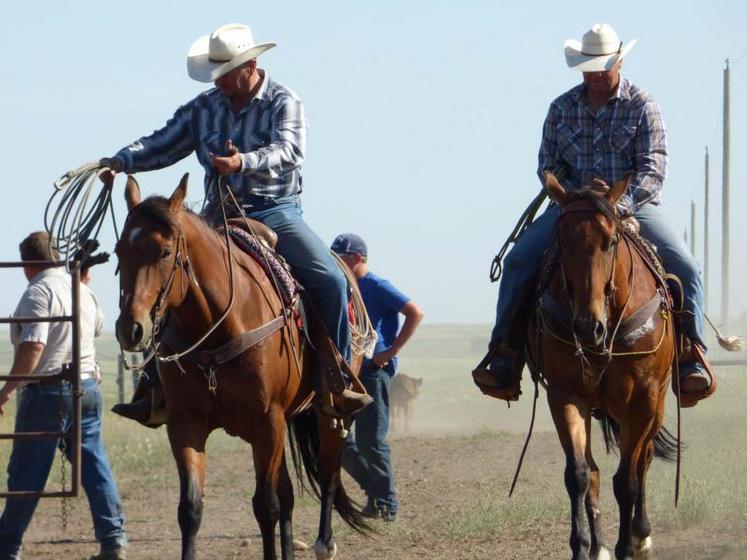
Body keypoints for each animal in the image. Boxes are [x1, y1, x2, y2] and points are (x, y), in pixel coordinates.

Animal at [114, 175, 368, 560]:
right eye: (118, 251)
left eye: (165, 251)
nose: (131, 329)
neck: (216, 326)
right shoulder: (186, 423)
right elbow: (191, 508)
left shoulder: (266, 422)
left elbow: (265, 506)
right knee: (289, 494)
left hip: (327, 413)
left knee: (327, 473)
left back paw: (325, 543)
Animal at [528, 172, 680, 560]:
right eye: (562, 241)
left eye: (611, 241)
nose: (586, 326)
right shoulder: (565, 396)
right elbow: (580, 474)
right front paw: (583, 547)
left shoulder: (642, 401)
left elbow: (627, 480)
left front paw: (628, 545)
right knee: (595, 472)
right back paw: (599, 545)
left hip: (655, 405)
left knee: (642, 463)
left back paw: (641, 536)